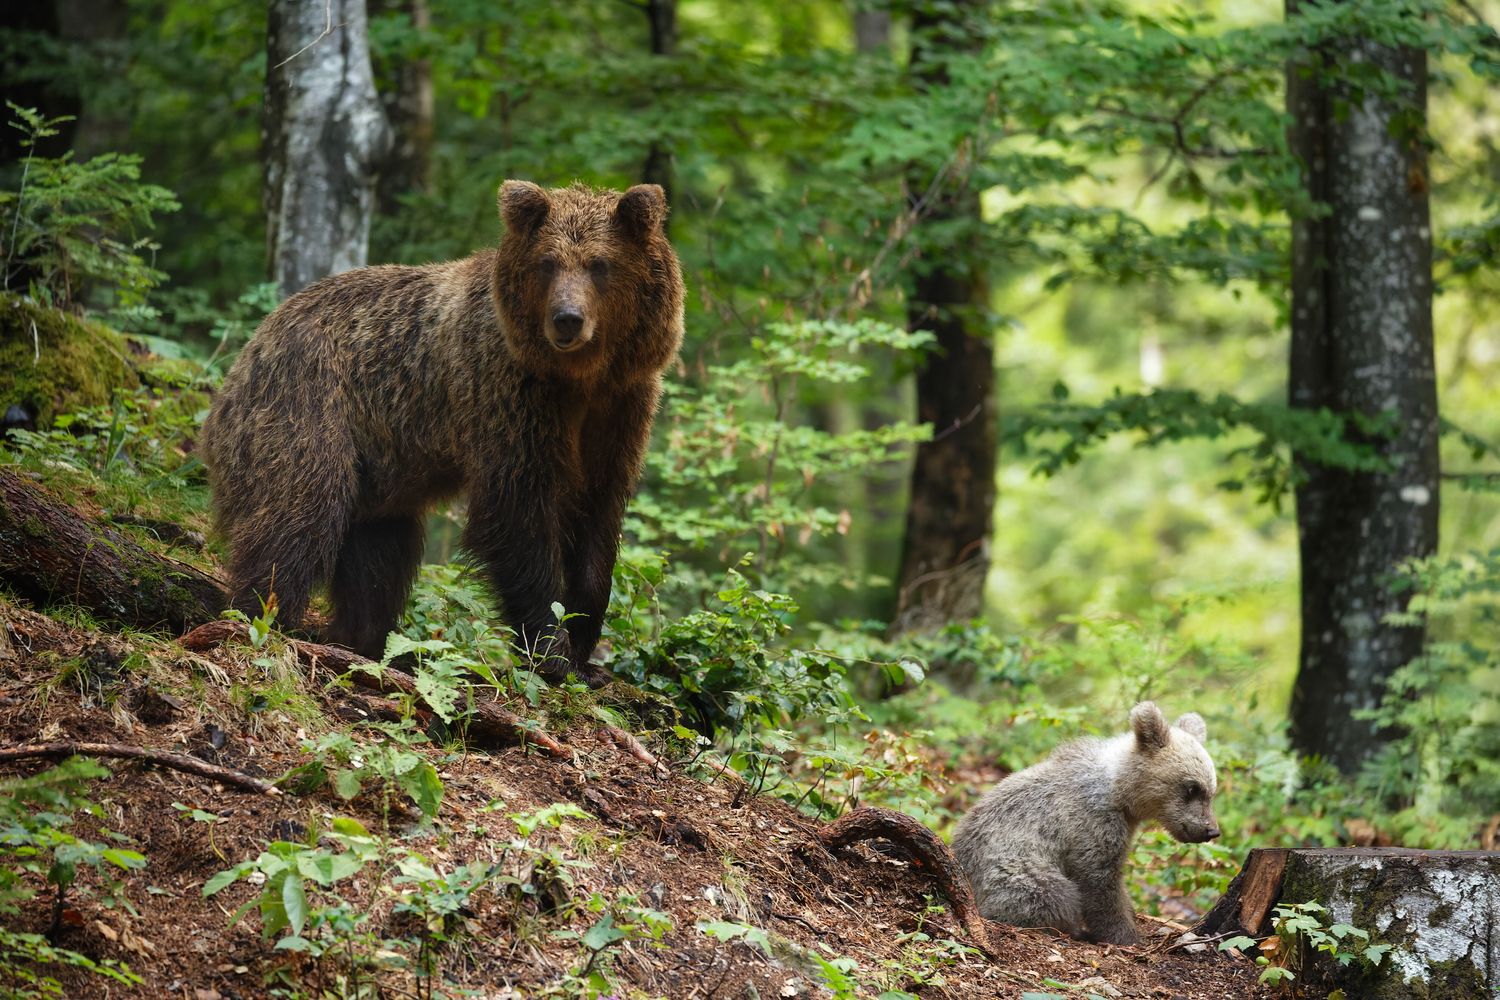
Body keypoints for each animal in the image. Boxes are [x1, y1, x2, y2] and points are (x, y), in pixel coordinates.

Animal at [199, 181, 685, 685]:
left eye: (599, 264)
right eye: (548, 263)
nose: (567, 319)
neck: (579, 377)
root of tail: (247, 352)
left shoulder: (621, 408)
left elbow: (597, 523)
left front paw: (585, 648)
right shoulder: (510, 397)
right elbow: (518, 517)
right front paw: (551, 651)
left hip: (379, 478)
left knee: (379, 560)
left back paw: (359, 639)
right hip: (306, 404)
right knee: (298, 513)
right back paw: (263, 617)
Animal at [951, 701, 1219, 944]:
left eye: (1211, 790)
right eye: (1192, 787)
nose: (1211, 830)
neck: (1119, 792)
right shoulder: (1093, 823)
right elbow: (1099, 882)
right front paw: (1125, 936)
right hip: (1013, 868)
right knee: (1051, 895)